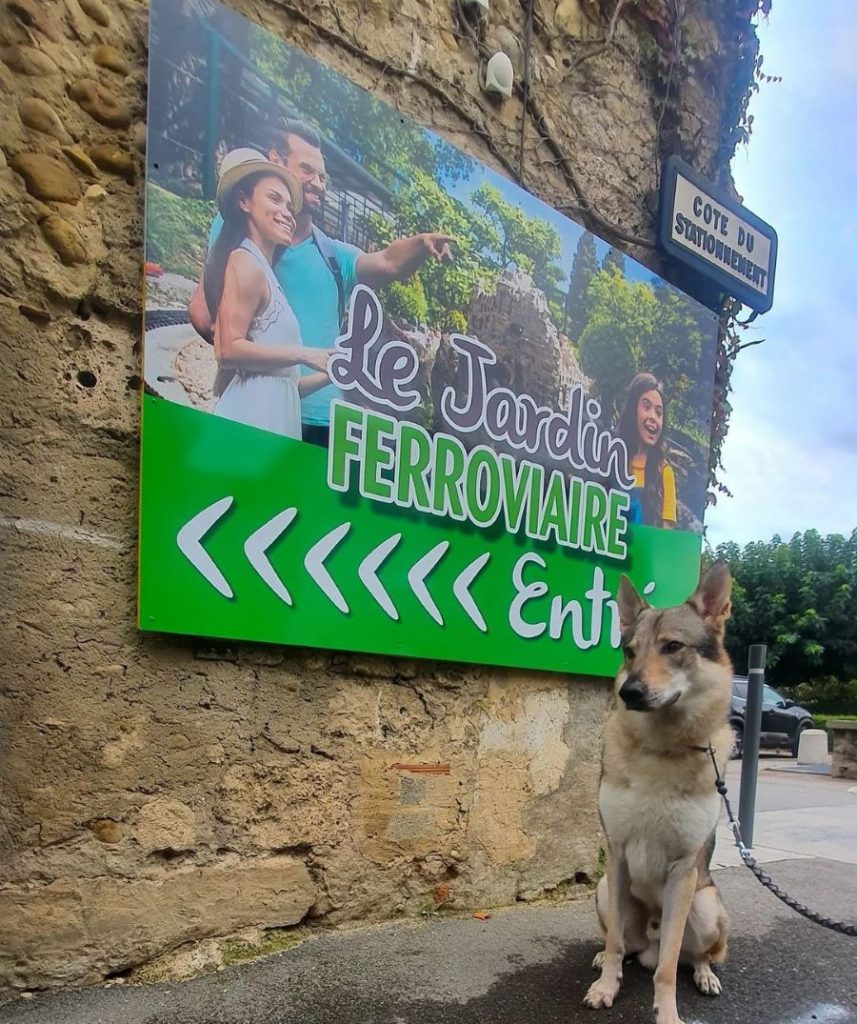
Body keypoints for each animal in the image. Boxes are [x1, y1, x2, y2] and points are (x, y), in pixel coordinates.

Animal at [585, 561, 733, 1024]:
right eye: (630, 651)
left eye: (672, 647)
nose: (628, 692)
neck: (661, 749)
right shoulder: (616, 854)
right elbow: (615, 941)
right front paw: (606, 987)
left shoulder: (683, 869)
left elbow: (668, 967)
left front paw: (667, 1013)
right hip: (603, 889)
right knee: (625, 944)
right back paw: (605, 960)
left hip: (705, 905)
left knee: (690, 955)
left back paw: (705, 975)